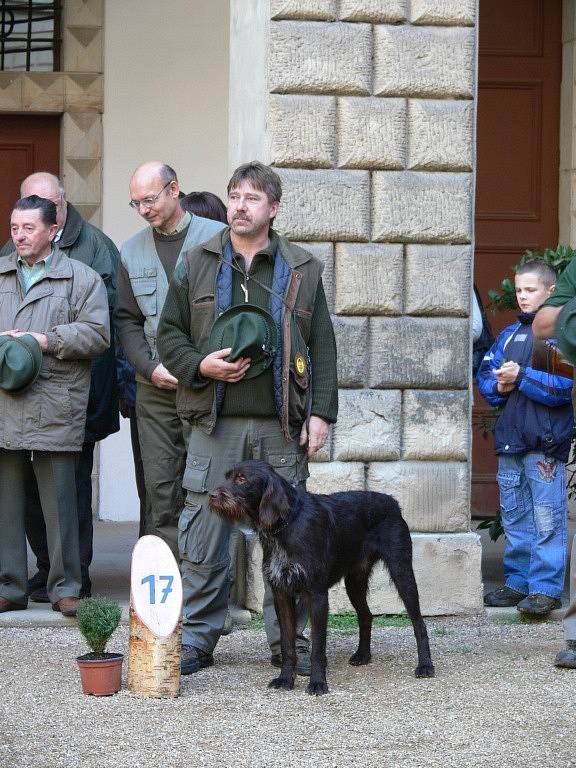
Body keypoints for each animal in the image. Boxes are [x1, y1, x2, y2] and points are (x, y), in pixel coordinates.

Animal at [209, 462, 434, 696]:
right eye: (227, 476)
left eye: (242, 479)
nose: (211, 495)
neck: (286, 525)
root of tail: (392, 501)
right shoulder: (281, 593)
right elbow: (287, 645)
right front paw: (285, 678)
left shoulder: (316, 595)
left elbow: (317, 647)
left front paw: (317, 682)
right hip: (355, 582)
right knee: (366, 615)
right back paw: (362, 655)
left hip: (401, 572)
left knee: (419, 623)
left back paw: (425, 665)